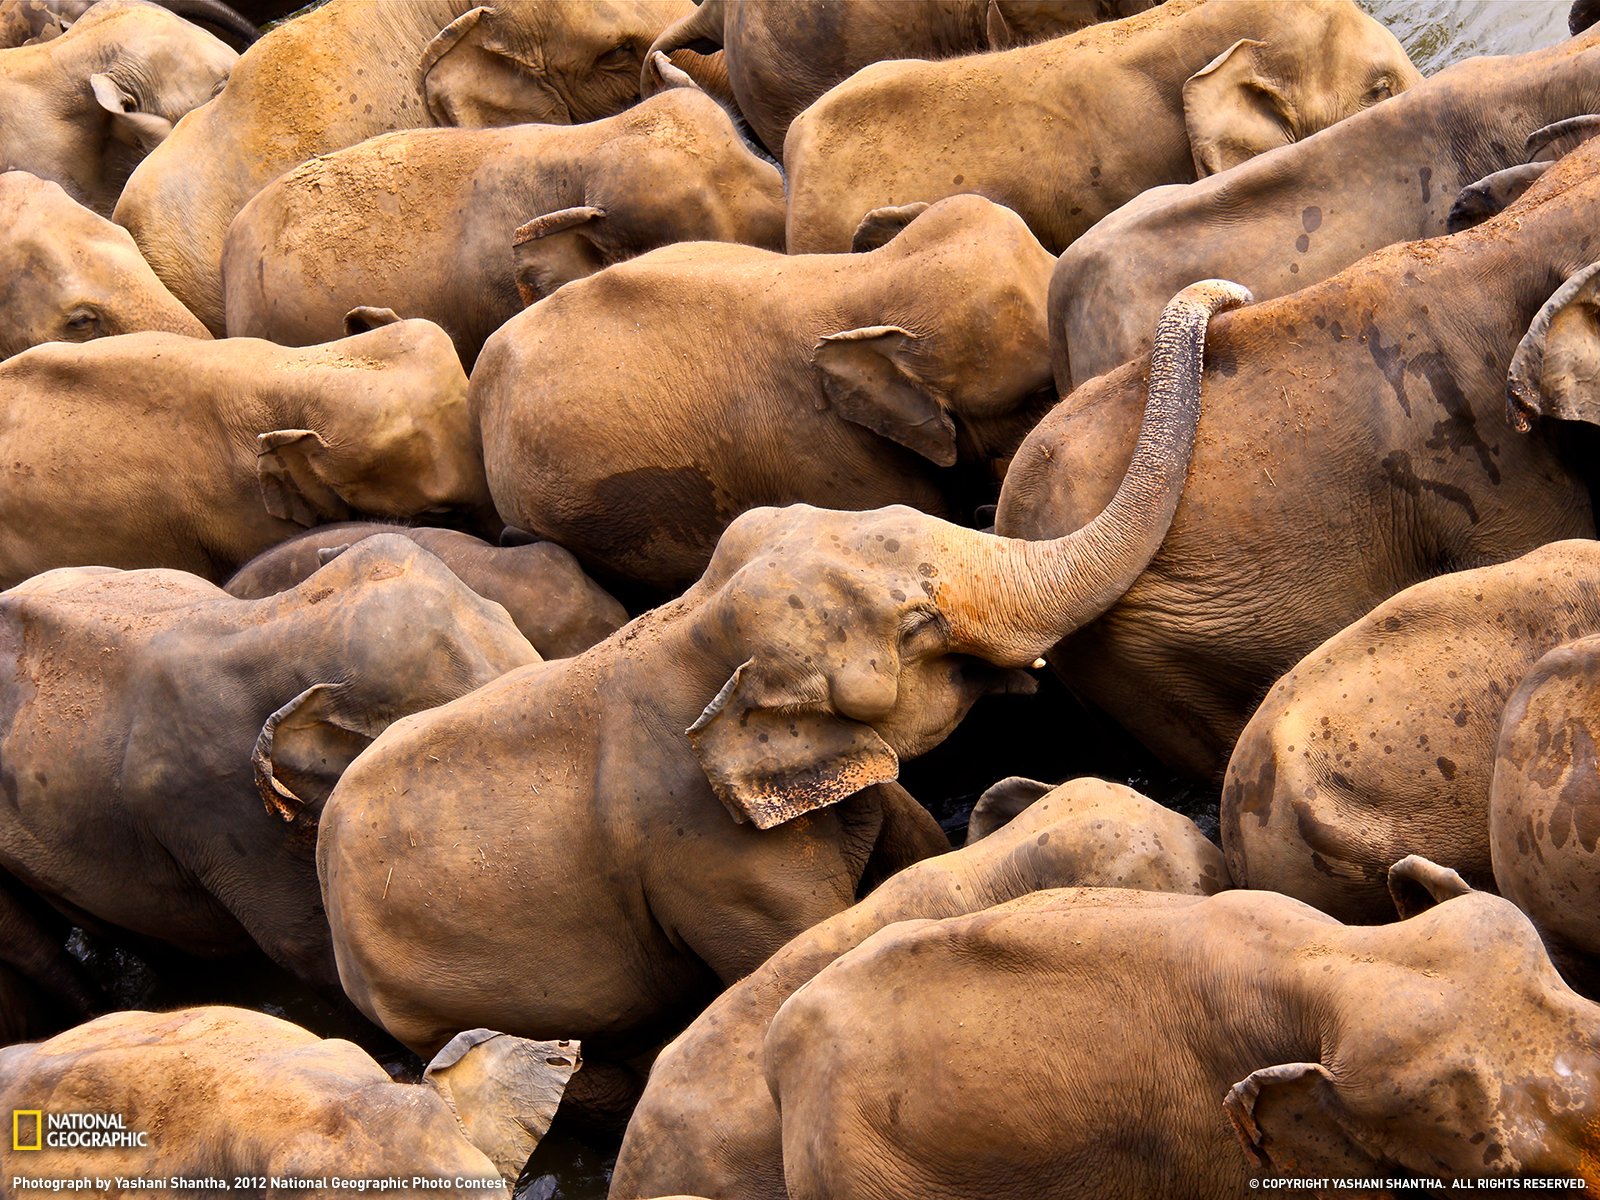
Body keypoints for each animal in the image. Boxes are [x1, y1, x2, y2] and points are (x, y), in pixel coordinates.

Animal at [316, 281, 1248, 1069]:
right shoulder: (710, 860)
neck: (693, 629)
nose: (1228, 294)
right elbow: (796, 943)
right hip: (428, 995)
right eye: (917, 627)